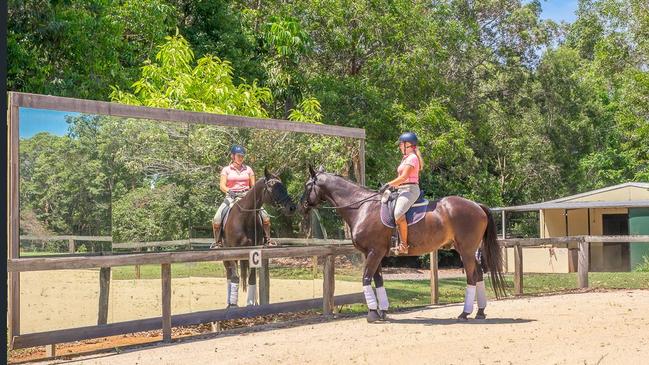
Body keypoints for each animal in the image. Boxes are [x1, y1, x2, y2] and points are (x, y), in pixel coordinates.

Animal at [221, 169, 294, 306]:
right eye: (272, 187)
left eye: (283, 186)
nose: (292, 207)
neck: (244, 217)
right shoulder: (233, 252)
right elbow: (235, 278)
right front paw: (233, 305)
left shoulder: (254, 251)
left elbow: (252, 278)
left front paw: (250, 304)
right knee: (229, 275)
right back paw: (229, 302)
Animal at [298, 166, 506, 322]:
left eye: (307, 185)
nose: (300, 206)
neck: (362, 207)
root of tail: (477, 205)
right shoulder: (375, 253)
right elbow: (378, 280)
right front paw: (382, 311)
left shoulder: (374, 252)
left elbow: (366, 278)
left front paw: (372, 314)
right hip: (468, 251)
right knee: (478, 275)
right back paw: (480, 312)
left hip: (466, 251)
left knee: (472, 276)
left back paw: (464, 313)